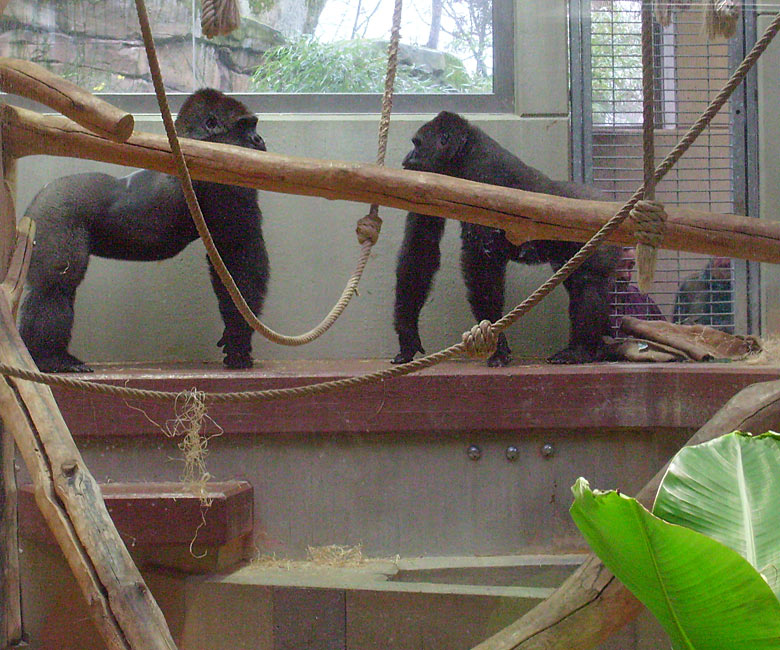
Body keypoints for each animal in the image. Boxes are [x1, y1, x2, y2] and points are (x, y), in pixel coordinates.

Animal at [19, 87, 268, 370]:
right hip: (55, 211)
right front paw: (239, 337)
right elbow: (238, 254)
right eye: (244, 125)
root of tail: (40, 196)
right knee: (53, 287)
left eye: (253, 125)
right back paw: (49, 356)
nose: (259, 140)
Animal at [394, 110, 620, 364]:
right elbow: (421, 248)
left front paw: (495, 342)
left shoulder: (483, 176)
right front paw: (407, 333)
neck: (463, 152)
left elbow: (482, 263)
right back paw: (598, 345)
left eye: (417, 144)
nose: (407, 158)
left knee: (587, 281)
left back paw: (581, 349)